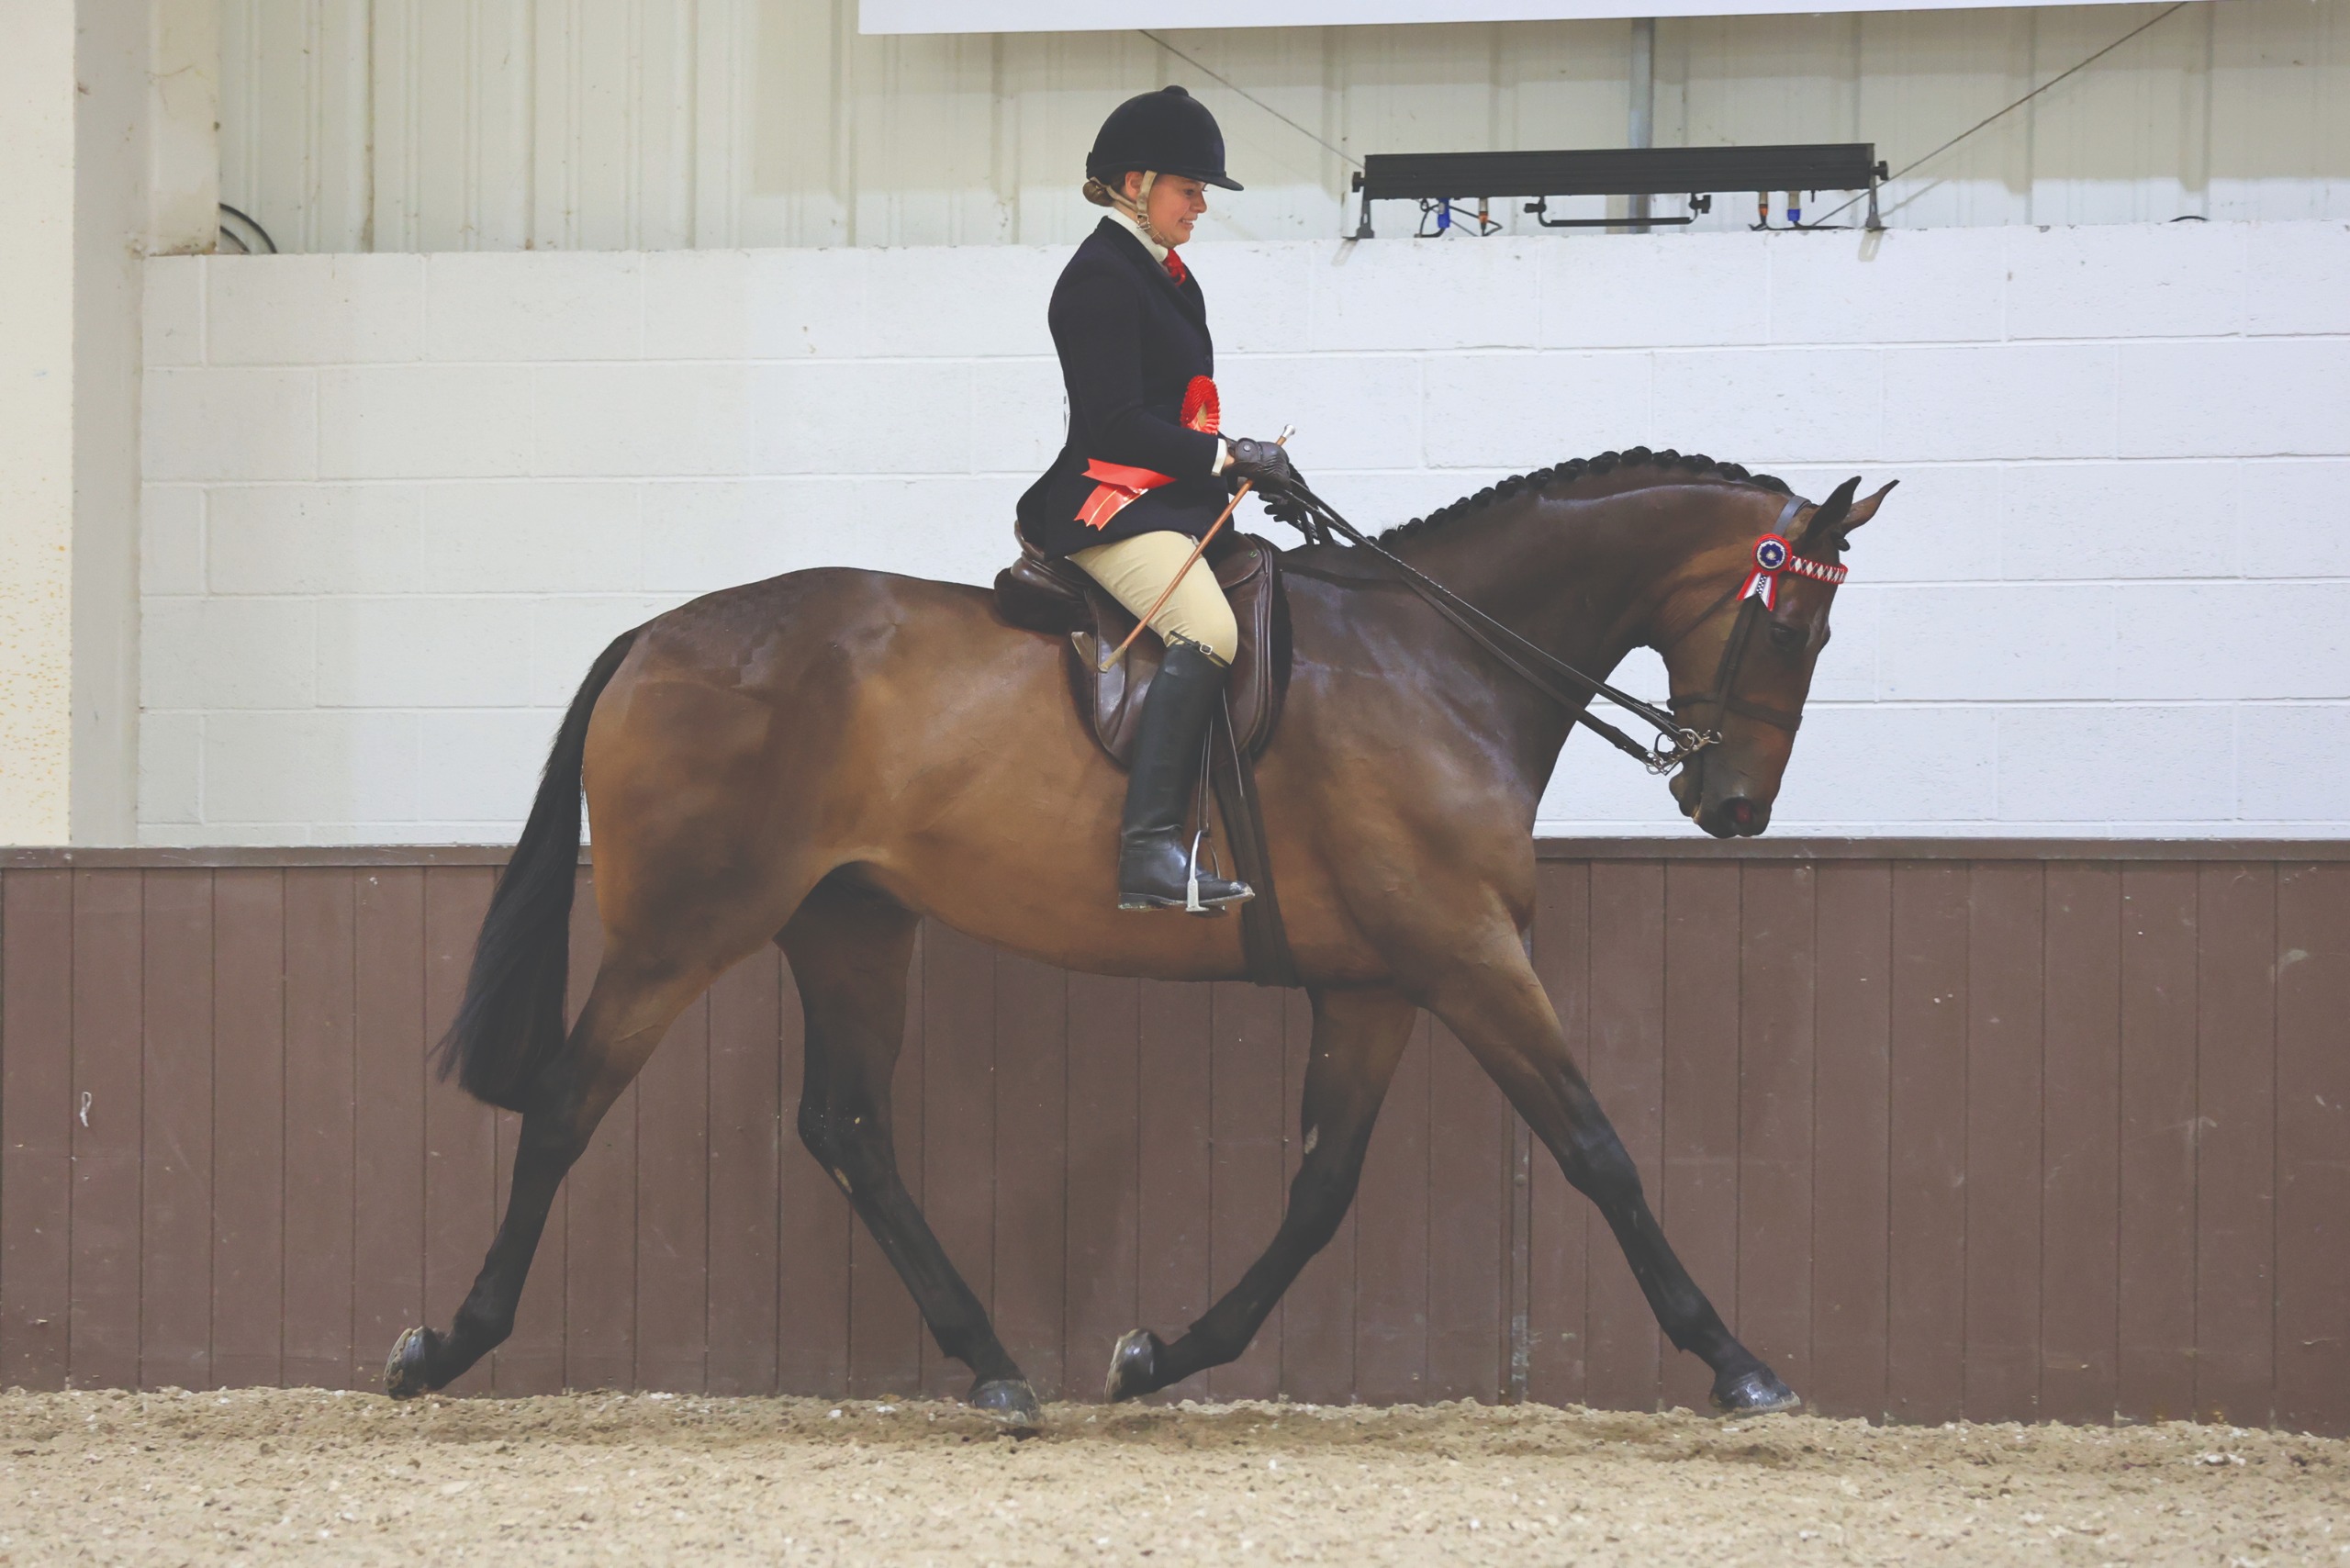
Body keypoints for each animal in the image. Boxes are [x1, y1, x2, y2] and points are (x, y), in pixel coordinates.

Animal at [384, 448, 1895, 1427]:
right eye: (1795, 625)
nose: (1732, 805)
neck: (1440, 663)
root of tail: (652, 636)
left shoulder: (1376, 984)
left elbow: (1319, 1193)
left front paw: (1156, 1357)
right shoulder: (1462, 951)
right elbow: (1595, 1148)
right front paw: (1739, 1363)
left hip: (850, 922)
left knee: (846, 1126)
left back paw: (997, 1366)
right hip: (685, 930)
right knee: (571, 1104)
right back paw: (446, 1347)